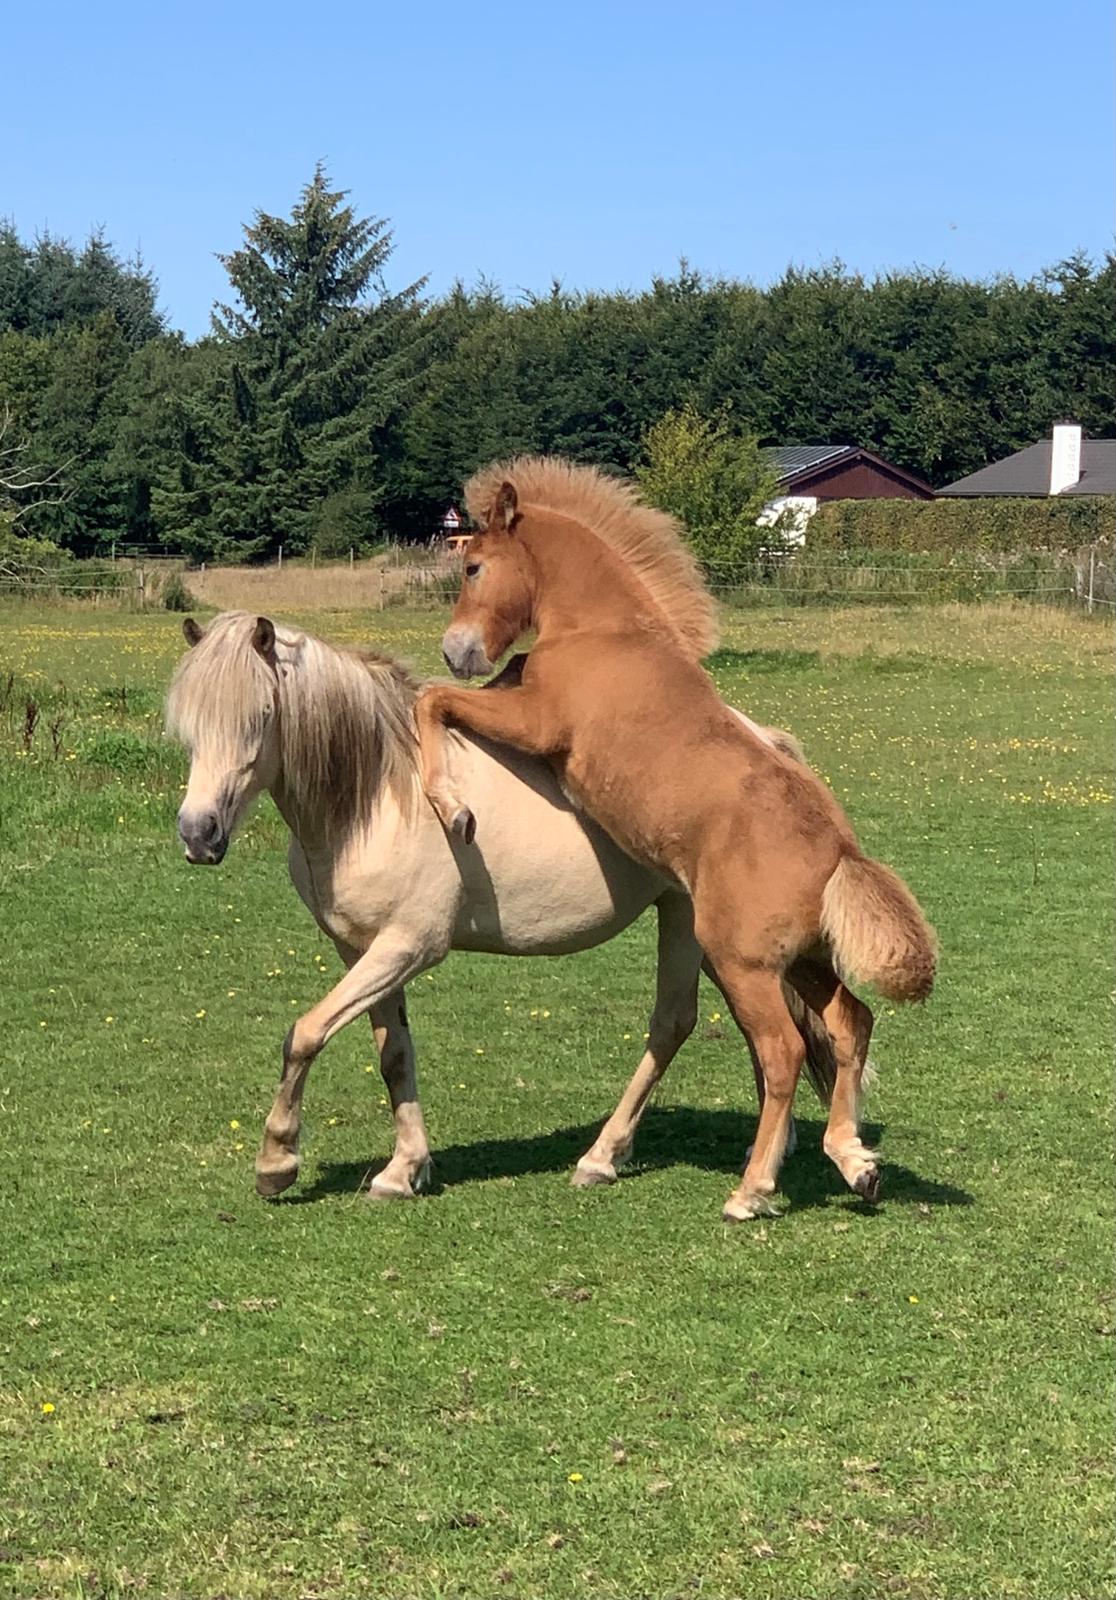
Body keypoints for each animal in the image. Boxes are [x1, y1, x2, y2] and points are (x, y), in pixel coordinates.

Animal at [415, 457, 927, 1216]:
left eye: (473, 566)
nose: (458, 651)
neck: (606, 633)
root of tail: (840, 856)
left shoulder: (536, 725)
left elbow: (432, 701)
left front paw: (452, 807)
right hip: (801, 961)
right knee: (850, 1024)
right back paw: (853, 1160)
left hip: (743, 963)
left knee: (783, 1052)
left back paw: (752, 1189)